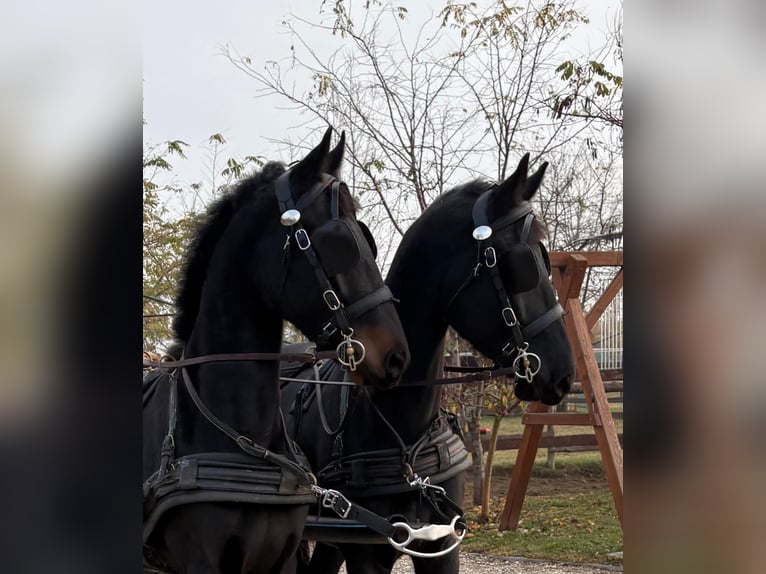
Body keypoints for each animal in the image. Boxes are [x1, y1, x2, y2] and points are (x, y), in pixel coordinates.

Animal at [142, 127, 410, 574]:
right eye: (338, 241)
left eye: (367, 238)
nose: (396, 356)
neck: (248, 443)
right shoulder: (201, 562)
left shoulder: (280, 559)